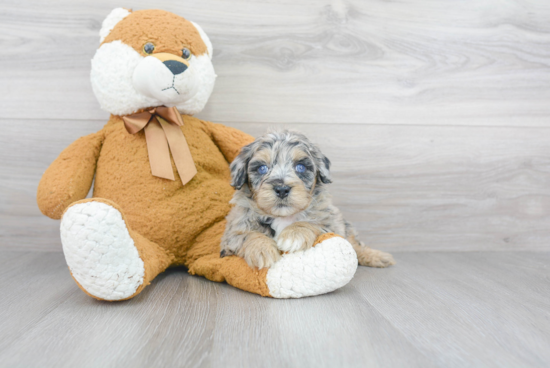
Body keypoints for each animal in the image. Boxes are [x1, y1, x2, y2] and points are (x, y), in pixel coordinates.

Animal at [220, 131, 396, 268]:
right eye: (262, 168)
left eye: (301, 167)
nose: (282, 189)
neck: (283, 217)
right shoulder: (232, 232)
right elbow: (247, 234)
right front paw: (262, 250)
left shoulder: (331, 222)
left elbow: (312, 222)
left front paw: (293, 235)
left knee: (356, 245)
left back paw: (379, 257)